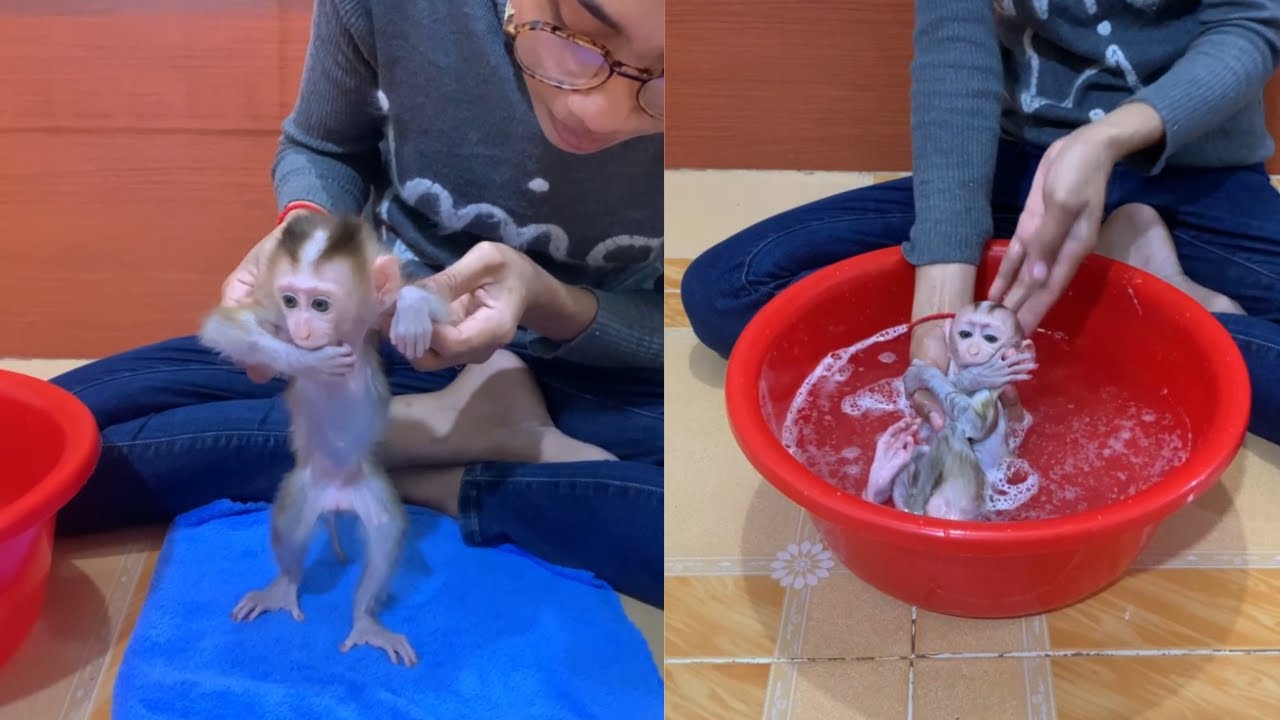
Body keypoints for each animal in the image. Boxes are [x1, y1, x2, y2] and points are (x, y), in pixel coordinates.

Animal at [198, 212, 437, 667]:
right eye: (291, 302)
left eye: (320, 305)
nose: (302, 330)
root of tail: (337, 501)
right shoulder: (271, 316)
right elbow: (224, 327)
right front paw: (310, 361)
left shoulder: (372, 315)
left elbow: (416, 297)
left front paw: (414, 307)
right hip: (305, 486)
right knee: (290, 528)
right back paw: (284, 586)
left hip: (366, 487)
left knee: (385, 533)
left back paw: (364, 619)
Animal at [863, 300, 1037, 521]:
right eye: (965, 334)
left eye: (990, 338)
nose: (972, 351)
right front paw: (973, 375)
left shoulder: (995, 390)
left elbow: (976, 423)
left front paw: (967, 376)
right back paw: (882, 474)